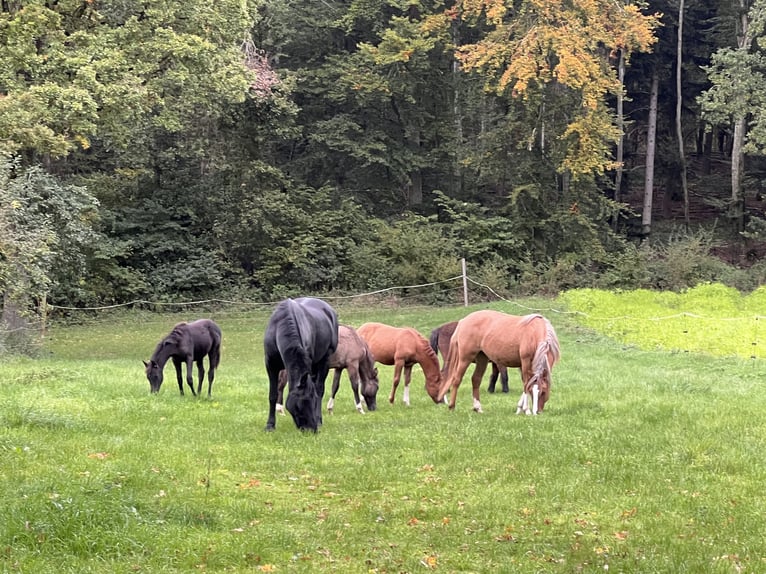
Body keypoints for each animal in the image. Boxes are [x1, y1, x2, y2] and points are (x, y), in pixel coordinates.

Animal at [264, 300, 340, 434]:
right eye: (301, 403)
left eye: (313, 401)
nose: (312, 430)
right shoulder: (271, 365)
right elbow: (273, 395)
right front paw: (270, 425)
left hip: (324, 361)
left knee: (319, 388)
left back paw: (319, 420)